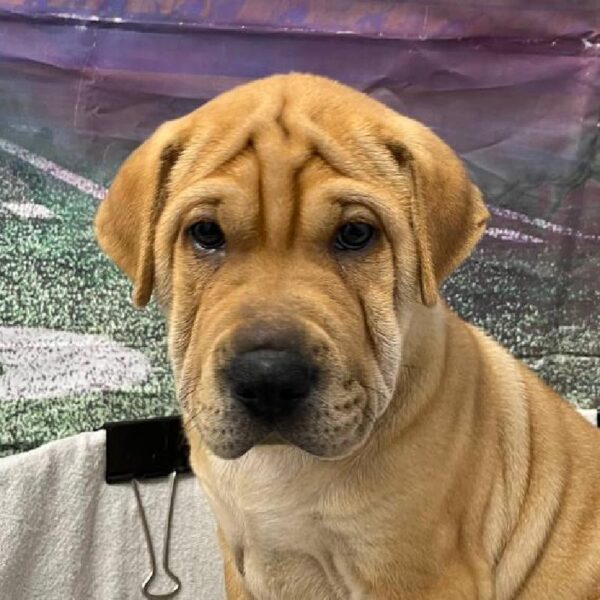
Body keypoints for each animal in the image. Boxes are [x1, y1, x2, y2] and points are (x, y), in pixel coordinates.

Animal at [95, 72, 600, 596]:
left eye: (356, 234)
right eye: (206, 233)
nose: (269, 379)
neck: (281, 467)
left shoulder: (419, 574)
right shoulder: (239, 559)